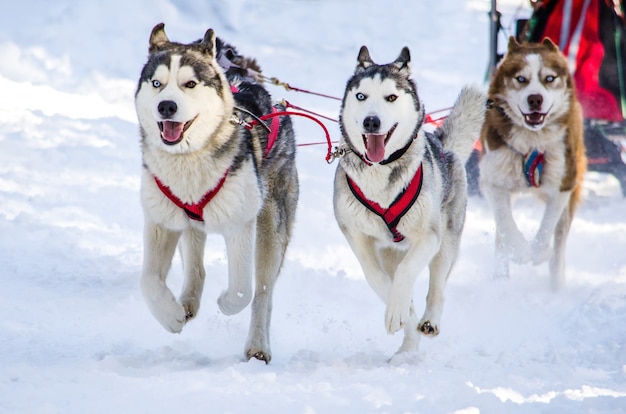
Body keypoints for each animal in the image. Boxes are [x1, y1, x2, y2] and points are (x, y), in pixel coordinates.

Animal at [133, 24, 298, 364]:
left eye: (190, 83)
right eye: (157, 83)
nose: (166, 106)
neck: (188, 161)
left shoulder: (240, 225)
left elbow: (242, 290)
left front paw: (226, 303)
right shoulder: (161, 222)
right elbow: (149, 281)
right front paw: (170, 316)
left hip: (271, 225)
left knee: (263, 292)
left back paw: (257, 346)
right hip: (189, 223)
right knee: (195, 261)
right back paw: (187, 302)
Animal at [334, 44, 486, 356]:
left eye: (391, 97)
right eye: (361, 96)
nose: (371, 121)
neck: (379, 173)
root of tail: (441, 145)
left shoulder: (428, 236)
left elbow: (406, 274)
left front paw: (399, 311)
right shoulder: (356, 236)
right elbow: (377, 278)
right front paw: (400, 311)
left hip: (446, 241)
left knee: (437, 286)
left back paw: (428, 322)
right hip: (392, 251)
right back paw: (407, 346)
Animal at [478, 38, 584, 292]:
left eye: (549, 78)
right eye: (521, 79)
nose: (535, 98)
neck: (531, 144)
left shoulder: (562, 185)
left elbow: (546, 229)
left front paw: (537, 253)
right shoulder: (492, 182)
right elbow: (506, 224)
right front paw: (520, 252)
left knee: (559, 245)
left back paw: (556, 289)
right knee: (501, 232)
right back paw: (500, 279)